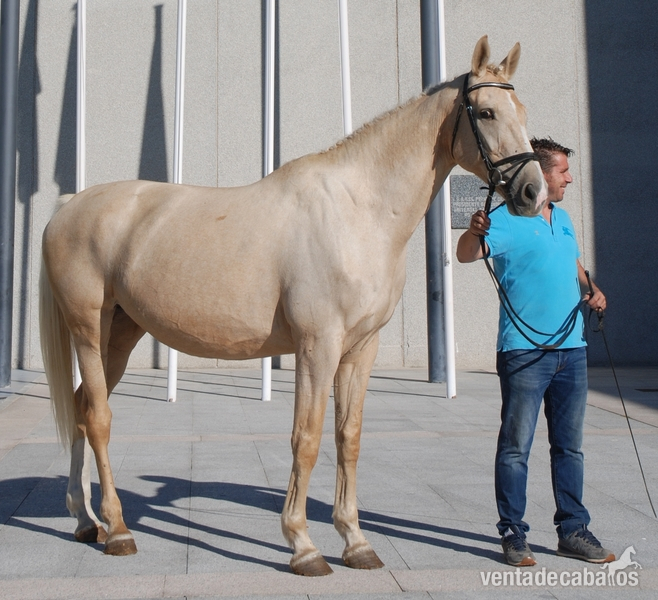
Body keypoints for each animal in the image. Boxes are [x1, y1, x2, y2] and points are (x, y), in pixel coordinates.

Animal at [39, 35, 547, 577]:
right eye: (487, 112)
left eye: (523, 111)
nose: (533, 192)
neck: (359, 210)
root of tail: (68, 208)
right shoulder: (316, 346)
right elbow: (306, 437)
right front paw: (303, 545)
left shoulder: (360, 349)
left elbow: (348, 437)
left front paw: (356, 542)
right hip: (88, 329)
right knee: (98, 417)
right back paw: (117, 530)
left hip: (121, 333)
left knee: (81, 407)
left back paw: (84, 521)